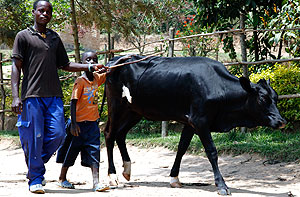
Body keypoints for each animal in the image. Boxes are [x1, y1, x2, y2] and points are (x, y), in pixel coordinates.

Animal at [103, 55, 286, 195]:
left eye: (276, 97)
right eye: (262, 99)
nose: (281, 122)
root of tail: (114, 60)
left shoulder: (190, 123)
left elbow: (182, 148)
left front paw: (174, 178)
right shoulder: (200, 121)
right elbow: (212, 152)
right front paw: (222, 185)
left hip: (134, 111)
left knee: (121, 134)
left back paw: (127, 170)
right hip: (116, 106)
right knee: (109, 134)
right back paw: (112, 176)